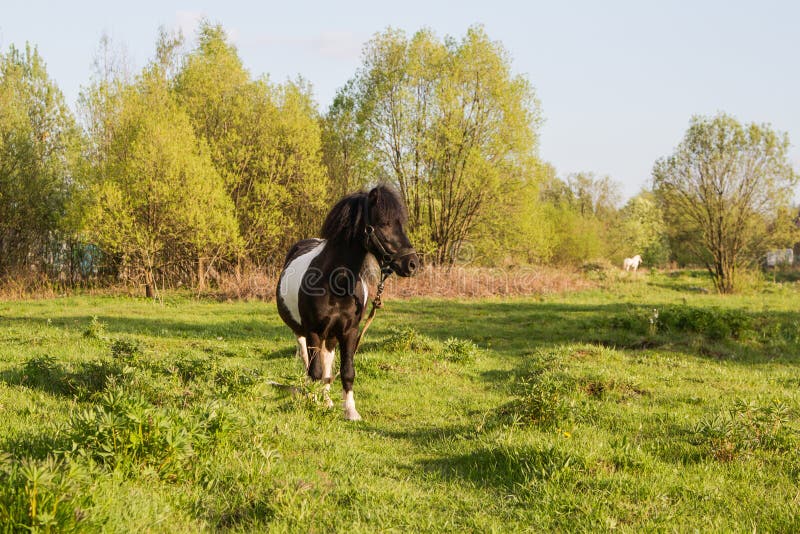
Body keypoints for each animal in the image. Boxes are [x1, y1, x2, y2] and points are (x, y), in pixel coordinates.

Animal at [276, 186, 418, 420]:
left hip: (331, 336)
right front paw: (313, 402)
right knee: (308, 362)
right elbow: (314, 372)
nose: (412, 264)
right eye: (384, 223)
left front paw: (350, 411)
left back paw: (327, 400)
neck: (335, 283)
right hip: (302, 333)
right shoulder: (313, 331)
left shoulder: (349, 331)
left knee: (327, 364)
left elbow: (346, 371)